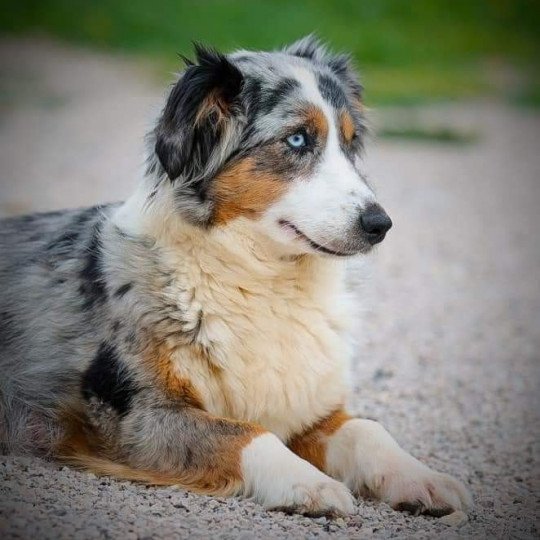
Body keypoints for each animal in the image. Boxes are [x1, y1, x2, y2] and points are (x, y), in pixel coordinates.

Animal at [0, 35, 470, 516]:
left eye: (350, 141)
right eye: (297, 139)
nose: (380, 224)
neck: (264, 283)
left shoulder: (307, 407)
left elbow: (367, 429)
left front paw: (420, 477)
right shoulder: (130, 413)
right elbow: (247, 434)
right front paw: (309, 483)